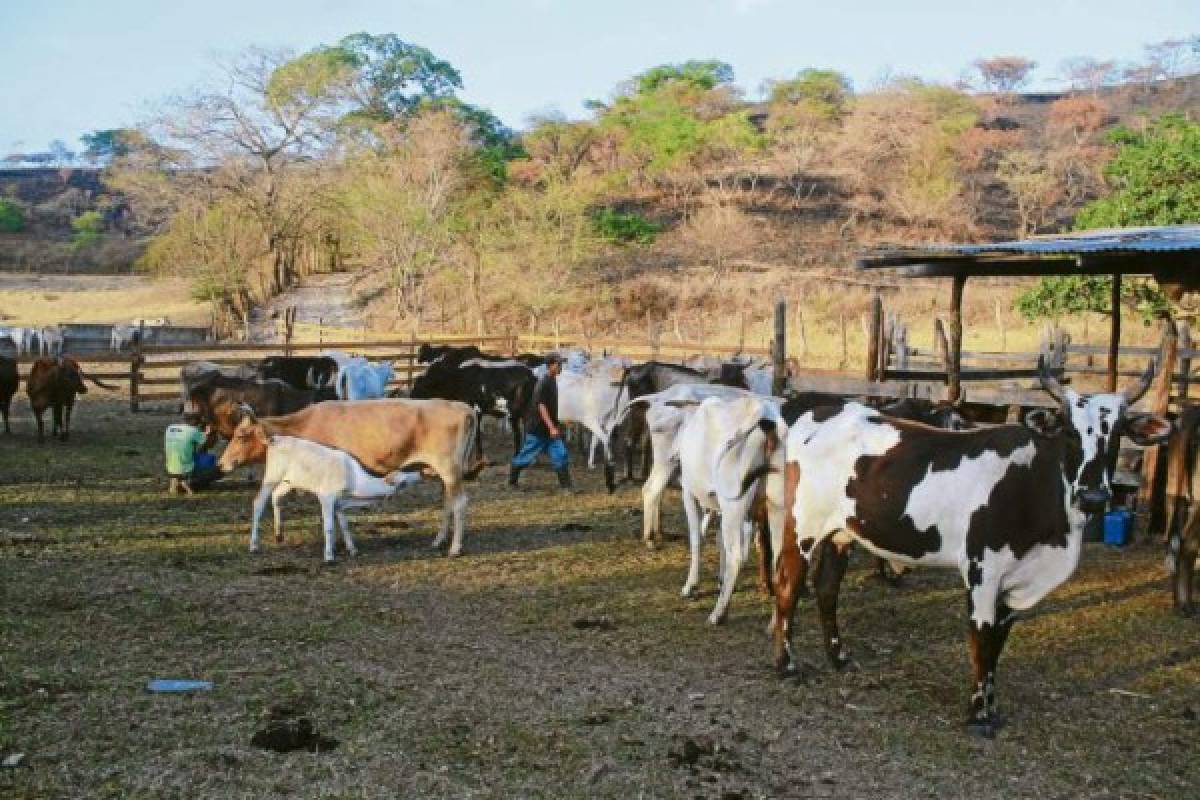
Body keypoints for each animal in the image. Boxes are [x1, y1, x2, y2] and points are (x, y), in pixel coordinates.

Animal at [238, 431, 422, 563]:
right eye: (404, 481)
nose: (420, 473)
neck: (354, 486)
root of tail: (273, 439)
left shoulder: (339, 502)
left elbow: (345, 524)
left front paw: (352, 550)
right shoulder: (326, 496)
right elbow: (329, 526)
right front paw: (329, 556)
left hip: (289, 481)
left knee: (276, 496)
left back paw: (279, 535)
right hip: (272, 475)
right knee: (258, 502)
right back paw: (254, 546)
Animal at [676, 393, 787, 623]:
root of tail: (763, 414)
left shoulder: (688, 493)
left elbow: (697, 539)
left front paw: (690, 586)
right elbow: (719, 540)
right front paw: (720, 578)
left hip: (734, 505)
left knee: (736, 555)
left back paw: (718, 613)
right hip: (776, 505)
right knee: (780, 554)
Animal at [763, 362, 1166, 738]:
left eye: (1118, 432)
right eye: (1068, 431)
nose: (1094, 496)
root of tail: (824, 408)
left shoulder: (1016, 582)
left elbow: (998, 644)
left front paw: (990, 707)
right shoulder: (982, 569)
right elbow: (981, 640)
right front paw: (978, 715)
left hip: (842, 533)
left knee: (827, 589)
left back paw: (840, 658)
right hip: (801, 526)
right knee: (789, 587)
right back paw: (787, 665)